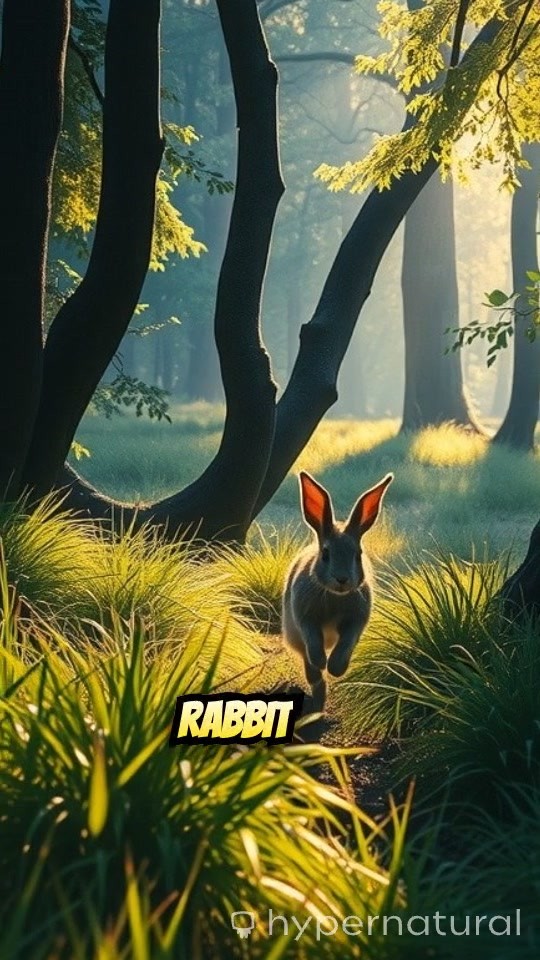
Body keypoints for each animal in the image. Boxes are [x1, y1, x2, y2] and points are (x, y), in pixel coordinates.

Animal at [282, 470, 393, 712]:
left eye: (358, 554)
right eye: (326, 554)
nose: (342, 579)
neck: (335, 596)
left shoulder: (355, 622)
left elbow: (346, 643)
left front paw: (335, 668)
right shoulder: (305, 618)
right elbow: (313, 639)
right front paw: (322, 662)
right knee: (312, 672)